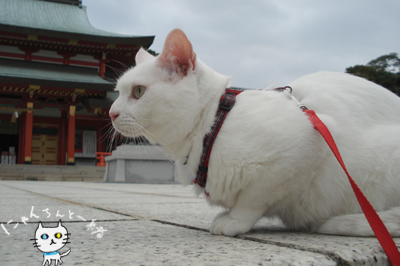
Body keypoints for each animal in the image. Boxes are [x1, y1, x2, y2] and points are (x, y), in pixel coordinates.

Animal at [109, 29, 400, 237]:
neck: (211, 123)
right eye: (118, 92)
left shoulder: (299, 149)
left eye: (138, 92)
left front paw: (234, 221)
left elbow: (253, 199)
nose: (111, 112)